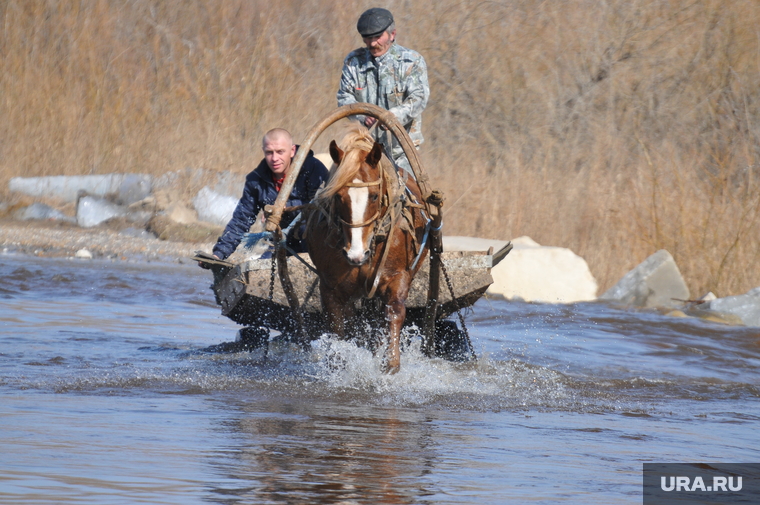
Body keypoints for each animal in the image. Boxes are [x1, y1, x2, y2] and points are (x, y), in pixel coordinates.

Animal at [306, 125, 430, 372]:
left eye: (374, 196)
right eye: (338, 196)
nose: (356, 254)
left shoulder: (396, 276)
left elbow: (394, 313)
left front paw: (390, 363)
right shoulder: (331, 287)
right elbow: (339, 327)